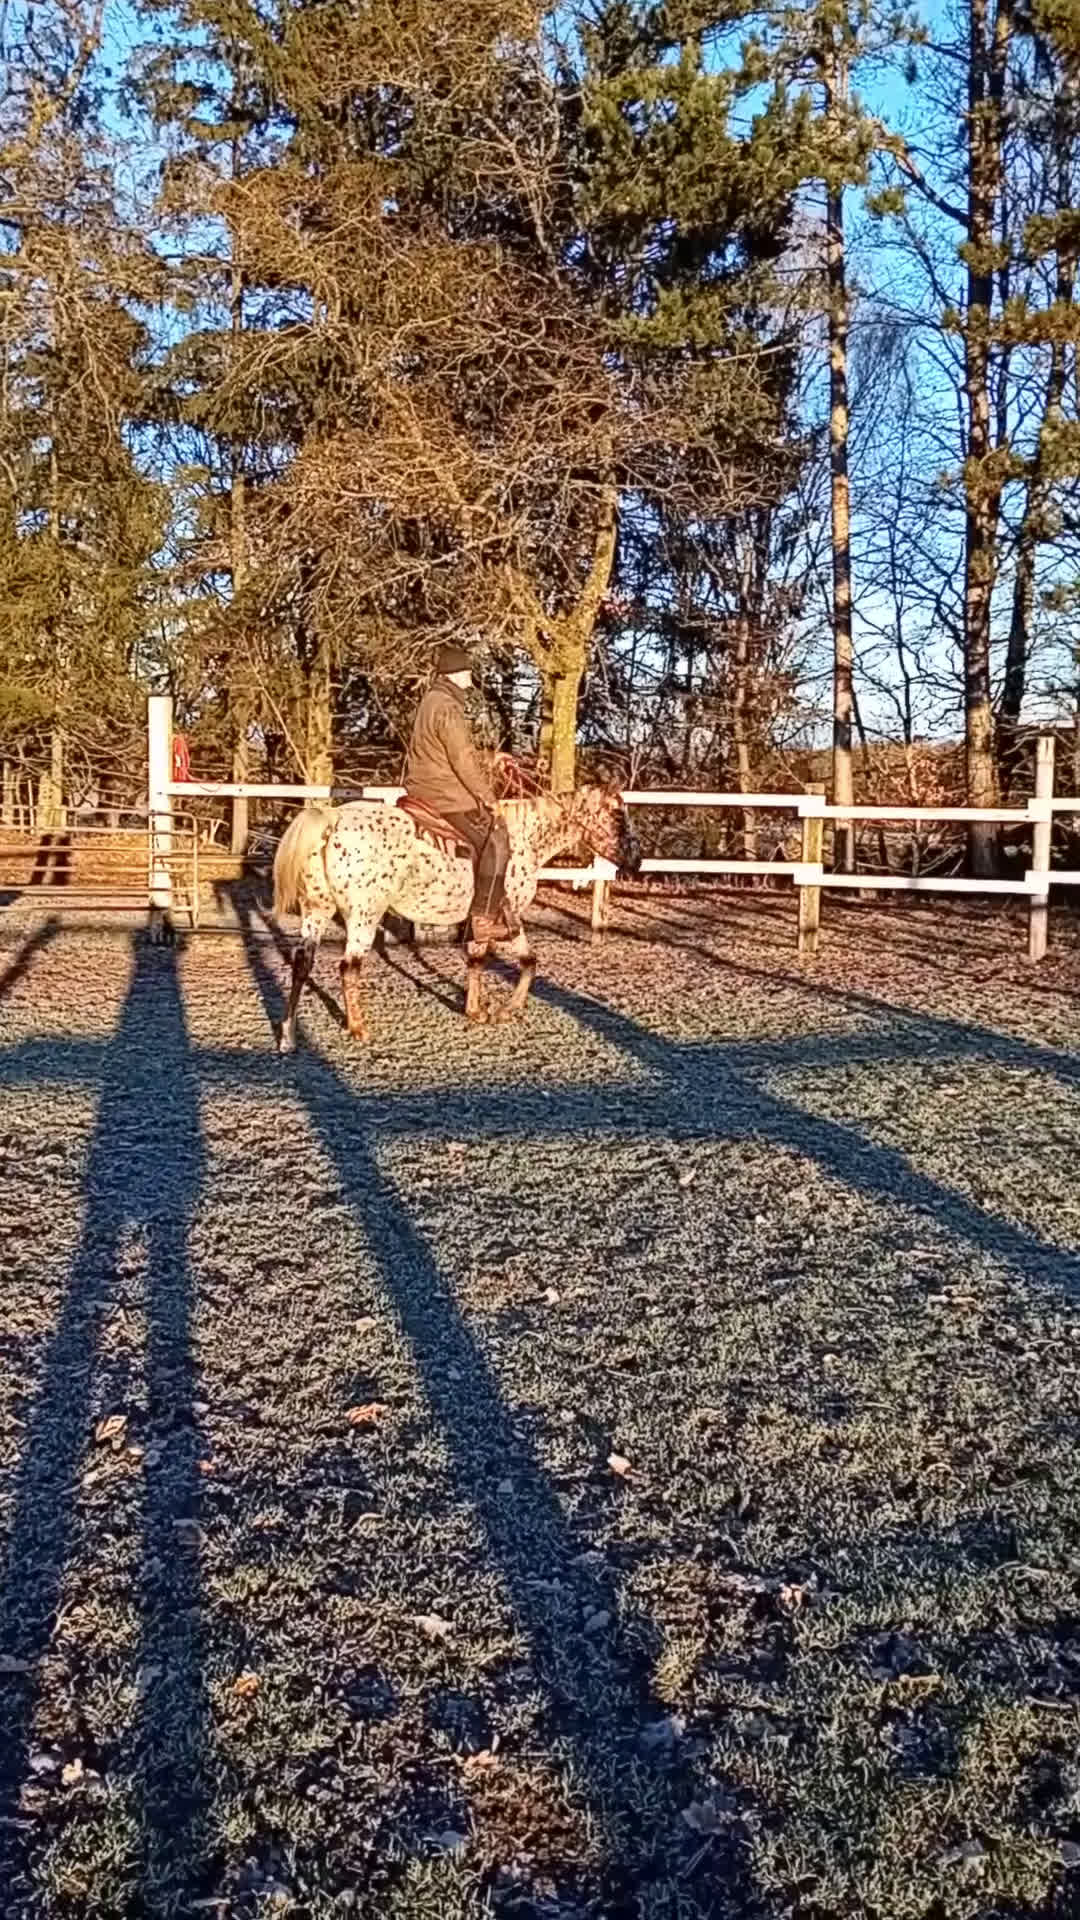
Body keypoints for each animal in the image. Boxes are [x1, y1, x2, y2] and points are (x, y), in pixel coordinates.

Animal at [271, 786, 639, 1050]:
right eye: (618, 816)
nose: (636, 861)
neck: (526, 838)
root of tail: (331, 820)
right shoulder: (507, 914)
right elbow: (517, 961)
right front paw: (505, 1009)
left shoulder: (492, 920)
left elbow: (496, 961)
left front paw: (478, 1010)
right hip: (363, 915)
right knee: (349, 967)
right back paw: (358, 1027)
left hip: (317, 910)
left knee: (302, 961)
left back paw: (288, 1036)